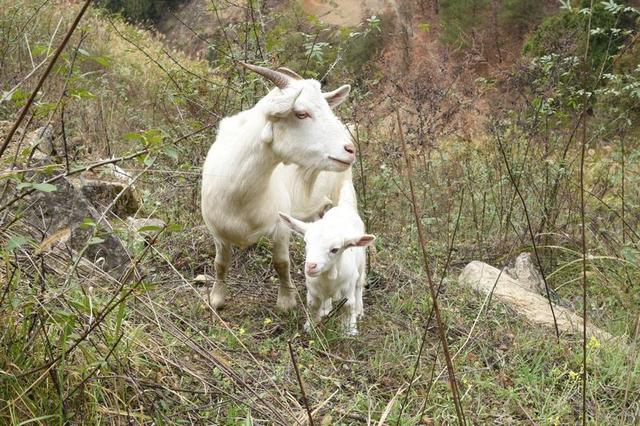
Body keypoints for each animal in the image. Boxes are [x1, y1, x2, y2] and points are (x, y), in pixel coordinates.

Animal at [201, 63, 356, 310]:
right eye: (301, 113)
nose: (349, 150)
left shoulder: (281, 226)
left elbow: (281, 262)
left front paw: (286, 301)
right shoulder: (217, 232)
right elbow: (220, 263)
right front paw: (216, 299)